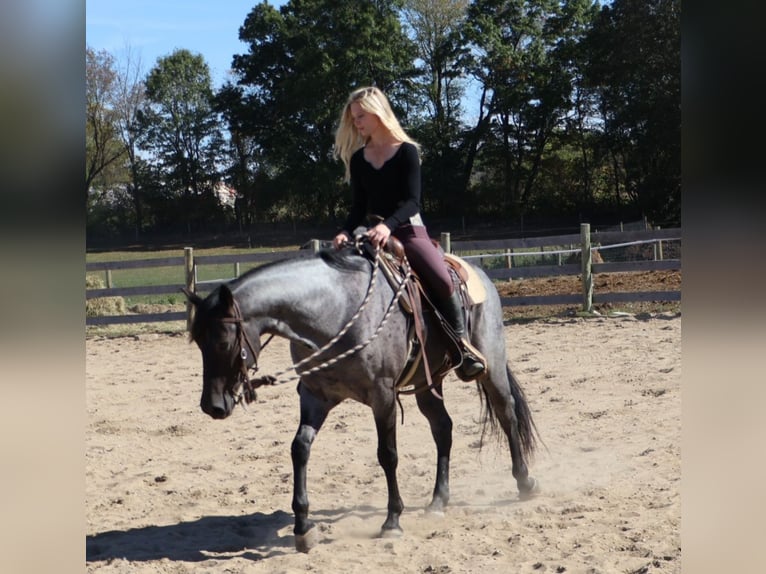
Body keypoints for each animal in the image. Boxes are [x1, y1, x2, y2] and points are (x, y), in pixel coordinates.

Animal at [184, 239, 540, 553]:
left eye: (223, 341)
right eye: (198, 342)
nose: (212, 406)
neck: (335, 311)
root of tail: (477, 271)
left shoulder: (383, 396)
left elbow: (388, 455)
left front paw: (392, 520)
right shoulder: (315, 396)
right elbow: (299, 449)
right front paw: (303, 527)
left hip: (491, 365)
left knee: (506, 413)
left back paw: (524, 482)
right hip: (428, 383)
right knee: (443, 428)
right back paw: (439, 500)